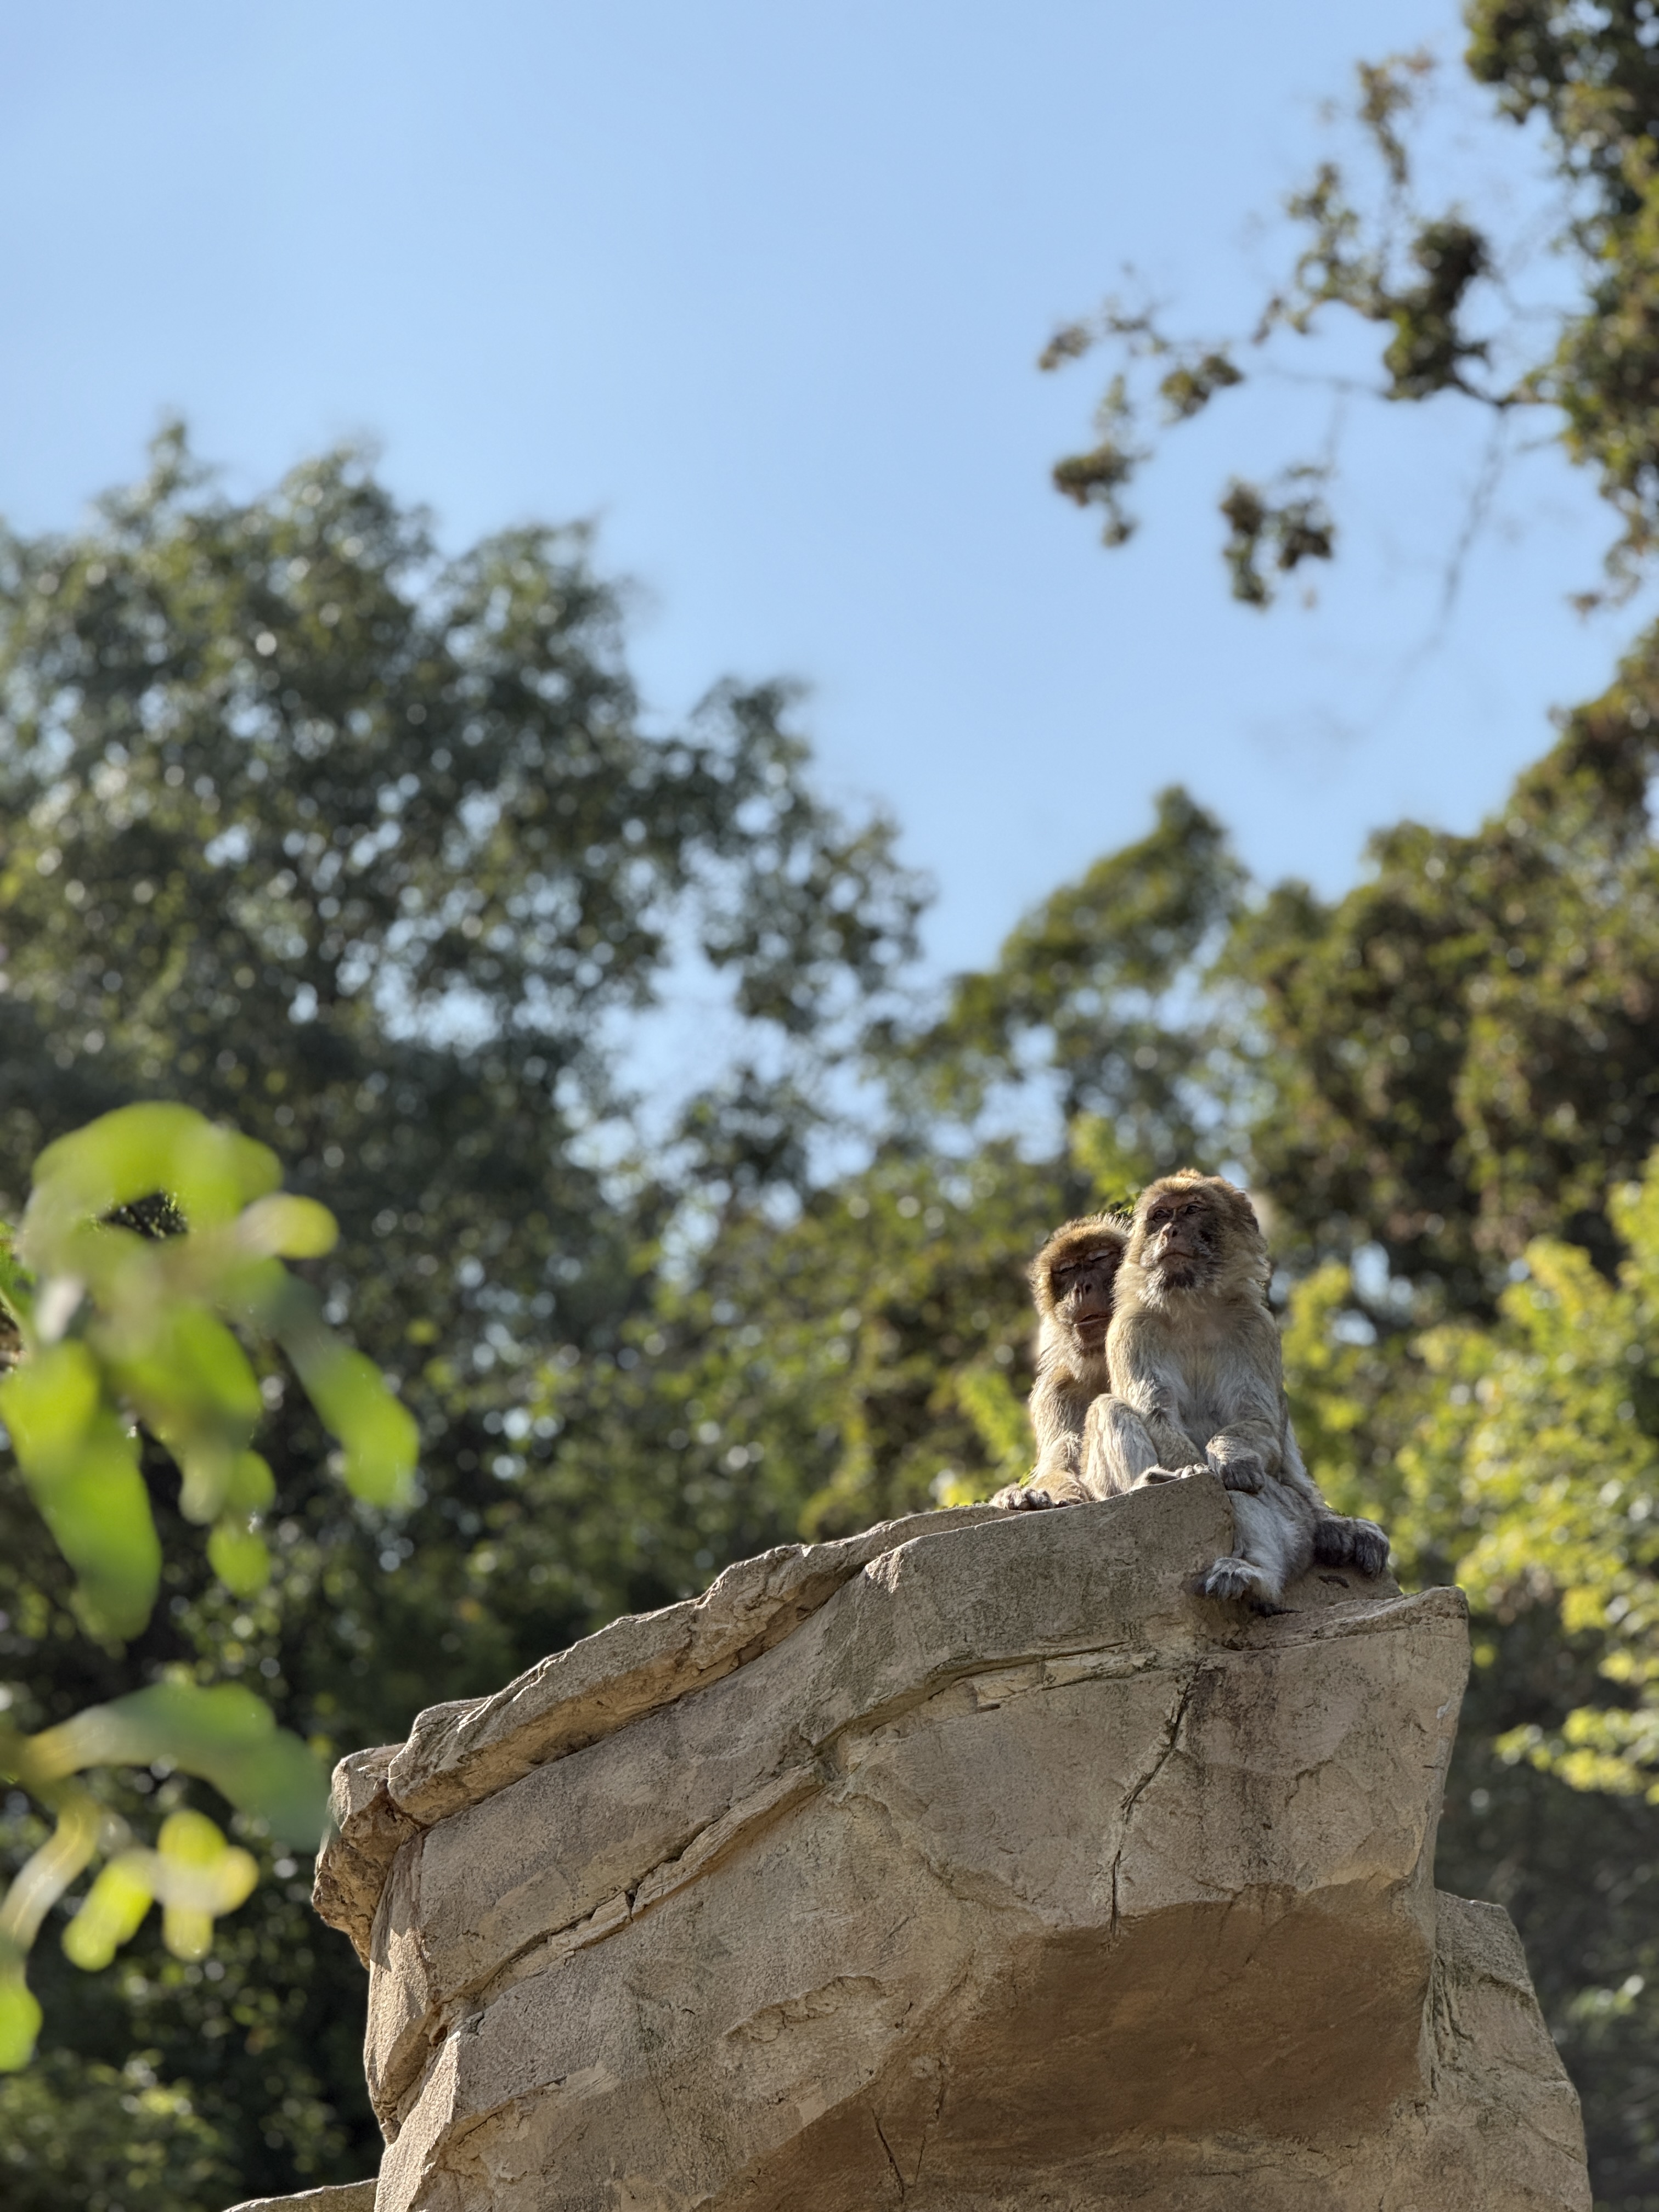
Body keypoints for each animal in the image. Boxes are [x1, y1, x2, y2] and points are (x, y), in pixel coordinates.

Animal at [1088, 1170, 1389, 1605]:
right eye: (1160, 1216)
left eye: (1191, 1211)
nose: (1171, 1231)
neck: (1192, 1307)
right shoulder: (1131, 1329)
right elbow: (1156, 1412)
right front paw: (1189, 1470)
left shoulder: (1255, 1327)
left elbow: (1256, 1422)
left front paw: (1229, 1457)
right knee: (1109, 1408)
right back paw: (1153, 1482)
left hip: (1296, 1520)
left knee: (1251, 1488)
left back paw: (1254, 1575)